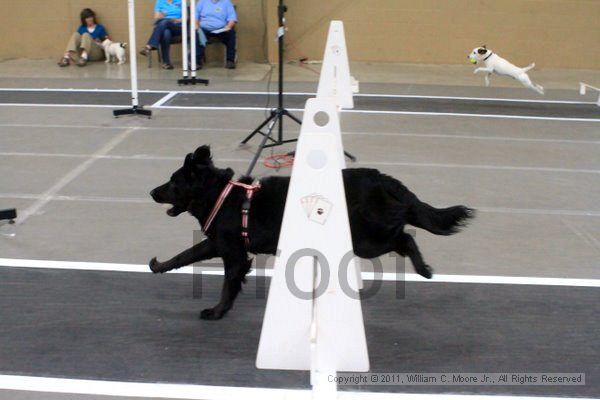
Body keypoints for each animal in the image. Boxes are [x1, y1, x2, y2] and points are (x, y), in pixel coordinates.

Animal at [148, 145, 476, 320]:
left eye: (173, 182)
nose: (152, 191)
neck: (220, 195)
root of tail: (382, 178)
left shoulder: (235, 253)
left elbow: (228, 286)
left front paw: (216, 312)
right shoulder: (218, 243)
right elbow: (183, 255)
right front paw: (158, 265)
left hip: (366, 239)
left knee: (405, 235)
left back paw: (424, 269)